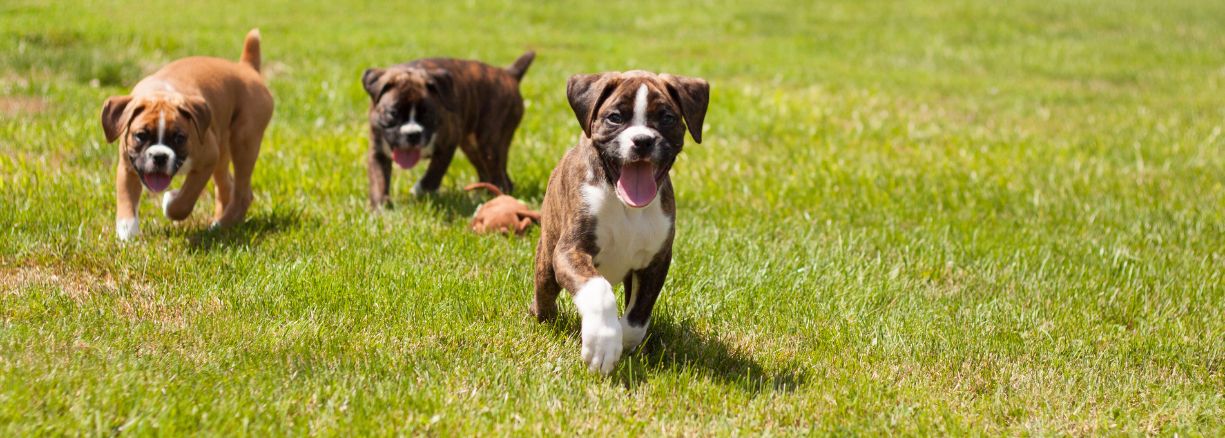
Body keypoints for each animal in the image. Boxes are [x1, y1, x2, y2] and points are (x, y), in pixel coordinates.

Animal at [101, 29, 275, 241]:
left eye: (179, 138)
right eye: (140, 135)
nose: (159, 156)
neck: (160, 93)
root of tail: (246, 68)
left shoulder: (207, 159)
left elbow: (185, 200)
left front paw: (171, 199)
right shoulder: (128, 166)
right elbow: (126, 199)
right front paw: (127, 233)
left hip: (244, 142)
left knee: (243, 193)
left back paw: (221, 225)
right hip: (223, 149)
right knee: (226, 187)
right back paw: (219, 223)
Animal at [362, 51, 536, 209]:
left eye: (427, 114)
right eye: (393, 113)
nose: (412, 134)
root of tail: (508, 74)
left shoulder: (447, 145)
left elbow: (434, 173)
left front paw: (418, 191)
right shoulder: (377, 152)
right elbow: (379, 180)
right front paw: (381, 209)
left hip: (490, 143)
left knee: (498, 175)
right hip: (472, 146)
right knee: (490, 172)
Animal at [534, 70, 710, 371]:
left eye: (667, 118)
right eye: (615, 117)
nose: (643, 140)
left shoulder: (655, 261)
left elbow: (638, 314)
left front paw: (624, 340)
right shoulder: (571, 251)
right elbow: (599, 289)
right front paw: (603, 341)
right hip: (547, 262)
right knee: (545, 296)